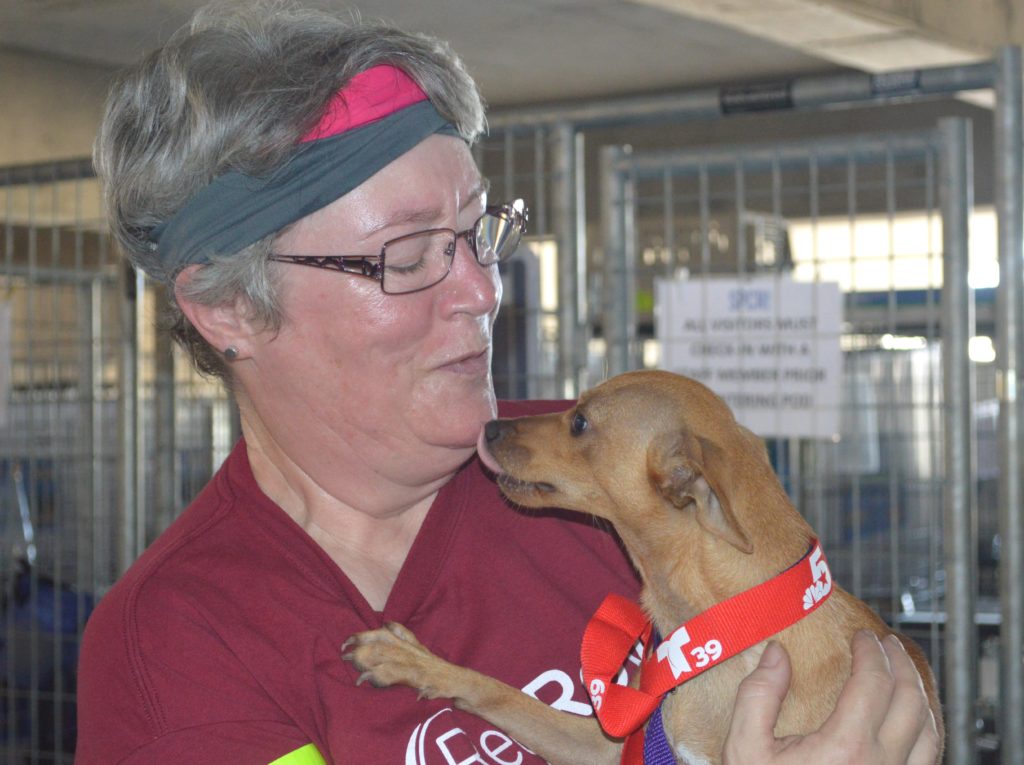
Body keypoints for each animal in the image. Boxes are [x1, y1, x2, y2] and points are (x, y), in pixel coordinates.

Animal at [344, 368, 942, 761]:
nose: (488, 429)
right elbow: (502, 693)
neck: (728, 628)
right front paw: (410, 660)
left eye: (581, 422)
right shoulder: (606, 747)